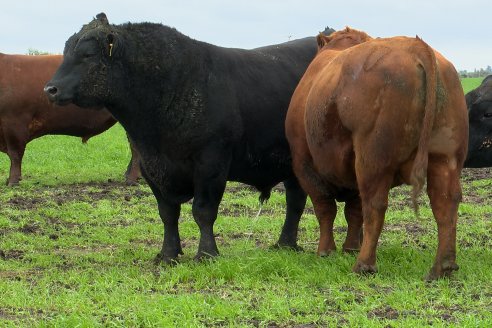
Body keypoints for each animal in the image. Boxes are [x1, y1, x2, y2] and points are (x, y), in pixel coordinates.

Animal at [45, 12, 334, 264]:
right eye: (66, 51)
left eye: (87, 54)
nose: (50, 89)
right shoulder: (150, 166)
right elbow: (167, 214)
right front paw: (168, 254)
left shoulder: (211, 163)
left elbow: (203, 212)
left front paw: (206, 253)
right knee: (295, 200)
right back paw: (285, 244)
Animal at [288, 26, 468, 280]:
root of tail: (416, 47)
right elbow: (353, 211)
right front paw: (349, 247)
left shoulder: (304, 163)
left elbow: (326, 208)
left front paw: (326, 250)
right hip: (446, 159)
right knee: (446, 202)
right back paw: (442, 267)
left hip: (372, 161)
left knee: (375, 205)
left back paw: (364, 264)